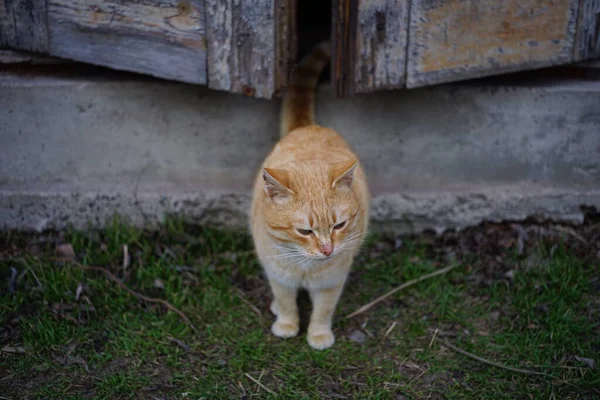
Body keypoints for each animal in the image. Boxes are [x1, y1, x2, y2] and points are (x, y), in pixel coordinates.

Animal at [250, 39, 370, 346]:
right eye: (305, 231)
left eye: (339, 225)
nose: (327, 249)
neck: (306, 267)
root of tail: (308, 127)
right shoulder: (279, 277)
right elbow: (287, 302)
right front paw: (287, 324)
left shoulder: (331, 282)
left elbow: (323, 310)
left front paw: (319, 335)